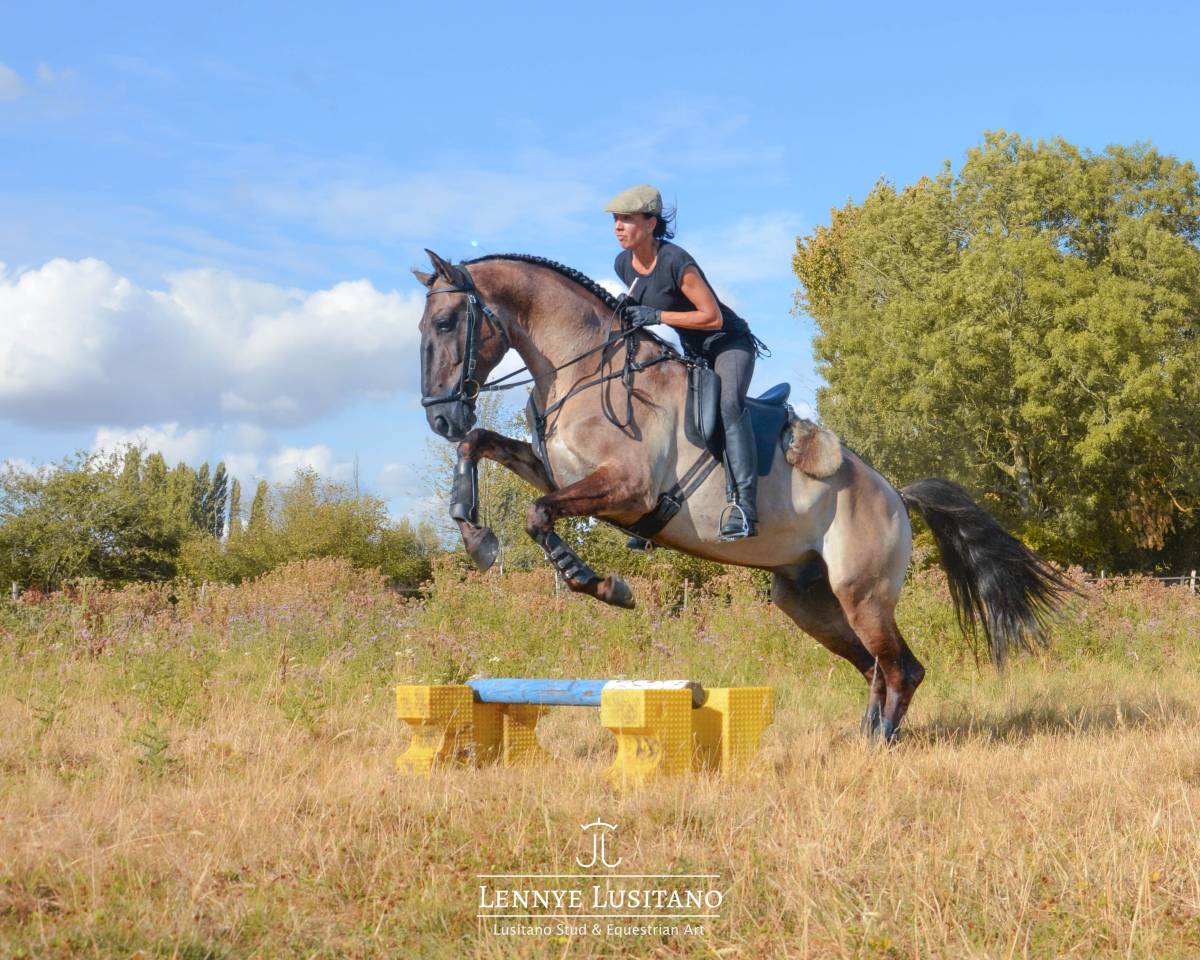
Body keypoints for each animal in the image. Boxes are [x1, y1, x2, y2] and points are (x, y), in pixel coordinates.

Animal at [414, 249, 1071, 740]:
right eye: (422, 329)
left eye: (446, 325)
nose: (440, 416)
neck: (585, 368)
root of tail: (894, 494)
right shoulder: (559, 474)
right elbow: (481, 447)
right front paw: (474, 535)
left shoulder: (627, 489)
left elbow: (536, 515)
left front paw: (602, 585)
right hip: (809, 600)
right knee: (874, 667)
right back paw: (864, 737)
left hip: (862, 592)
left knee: (901, 668)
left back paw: (881, 743)